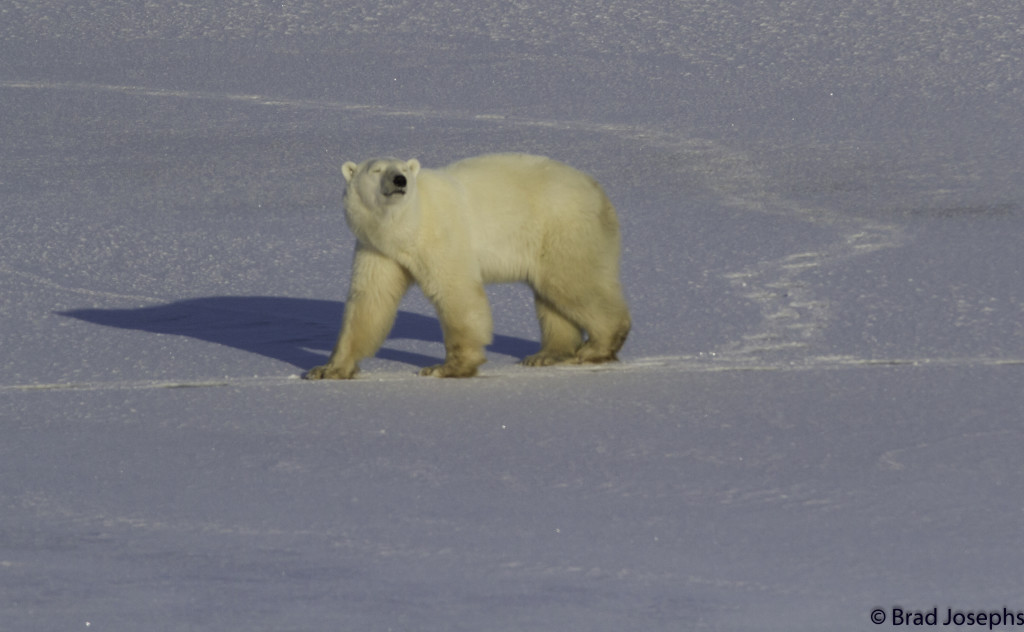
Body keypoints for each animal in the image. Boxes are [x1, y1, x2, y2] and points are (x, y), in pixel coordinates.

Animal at [304, 153, 630, 379]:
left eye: (404, 170)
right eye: (376, 170)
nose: (400, 182)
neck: (405, 225)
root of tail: (597, 189)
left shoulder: (440, 234)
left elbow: (455, 292)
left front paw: (445, 367)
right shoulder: (377, 249)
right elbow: (368, 302)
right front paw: (327, 369)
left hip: (563, 228)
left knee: (571, 281)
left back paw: (596, 347)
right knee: (551, 296)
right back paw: (546, 354)